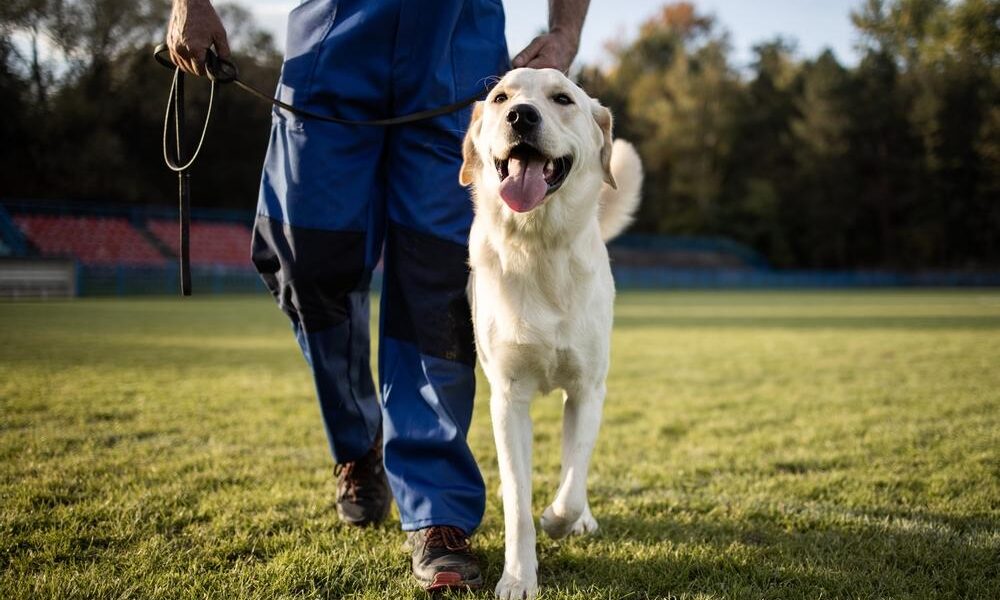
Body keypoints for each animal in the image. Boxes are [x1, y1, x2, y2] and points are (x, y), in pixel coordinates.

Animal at [458, 69, 640, 600]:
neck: (538, 246)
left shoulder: (587, 391)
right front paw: (518, 577)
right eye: (501, 98)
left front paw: (561, 520)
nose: (521, 115)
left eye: (562, 99)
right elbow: (518, 504)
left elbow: (572, 482)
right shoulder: (507, 398)